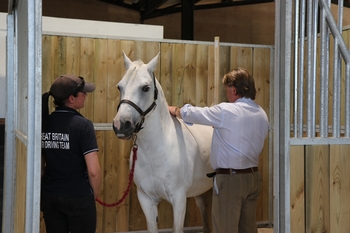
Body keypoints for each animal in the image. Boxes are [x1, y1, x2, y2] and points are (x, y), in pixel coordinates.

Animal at [113, 52, 215, 232]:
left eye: (145, 88)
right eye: (120, 87)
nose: (121, 125)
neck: (156, 151)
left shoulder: (179, 199)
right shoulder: (146, 199)